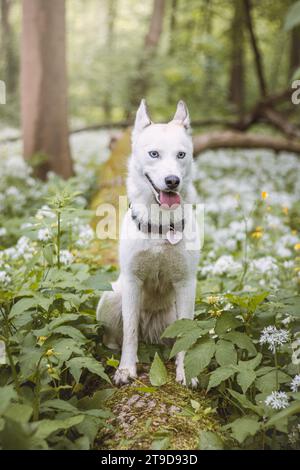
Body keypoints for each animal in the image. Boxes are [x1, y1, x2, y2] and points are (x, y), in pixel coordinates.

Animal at [96, 100, 199, 386]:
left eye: (181, 155)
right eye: (154, 154)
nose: (172, 181)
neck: (161, 226)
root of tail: (151, 332)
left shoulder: (186, 283)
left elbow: (186, 337)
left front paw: (185, 372)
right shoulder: (133, 281)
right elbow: (130, 333)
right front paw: (125, 369)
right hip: (111, 297)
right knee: (117, 337)